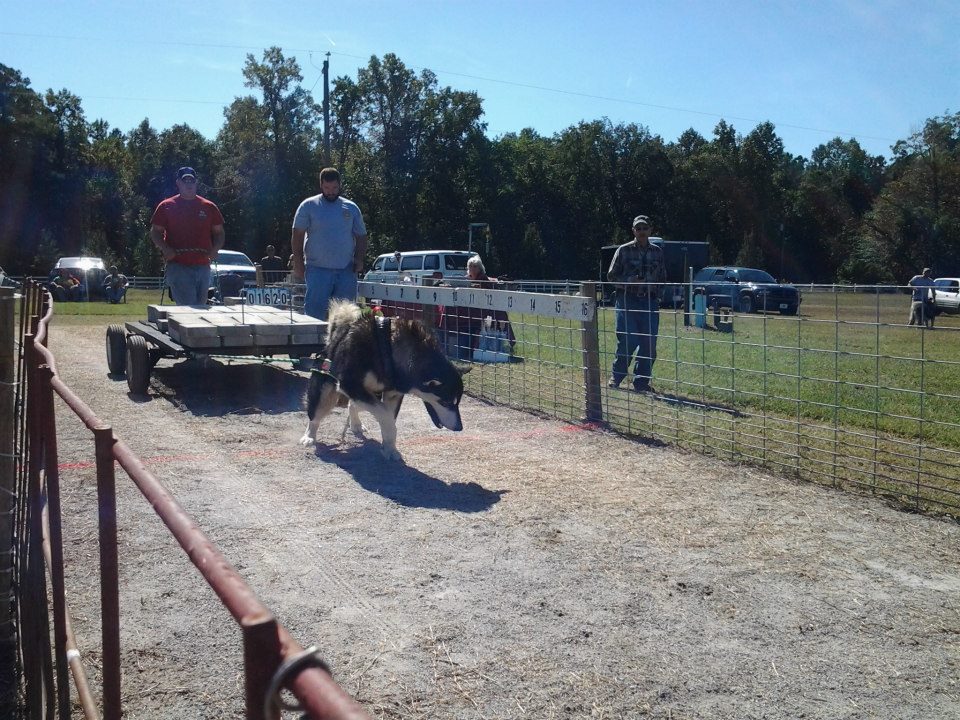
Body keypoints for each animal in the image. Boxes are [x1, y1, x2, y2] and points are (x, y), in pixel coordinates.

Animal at [300, 300, 464, 458]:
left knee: (353, 405)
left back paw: (356, 424)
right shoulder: (350, 384)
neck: (387, 348)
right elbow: (387, 418)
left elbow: (388, 418)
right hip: (327, 393)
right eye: (445, 402)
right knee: (315, 414)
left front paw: (390, 448)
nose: (459, 427)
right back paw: (309, 436)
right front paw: (389, 441)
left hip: (367, 394)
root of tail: (334, 341)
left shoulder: (392, 394)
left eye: (457, 403)